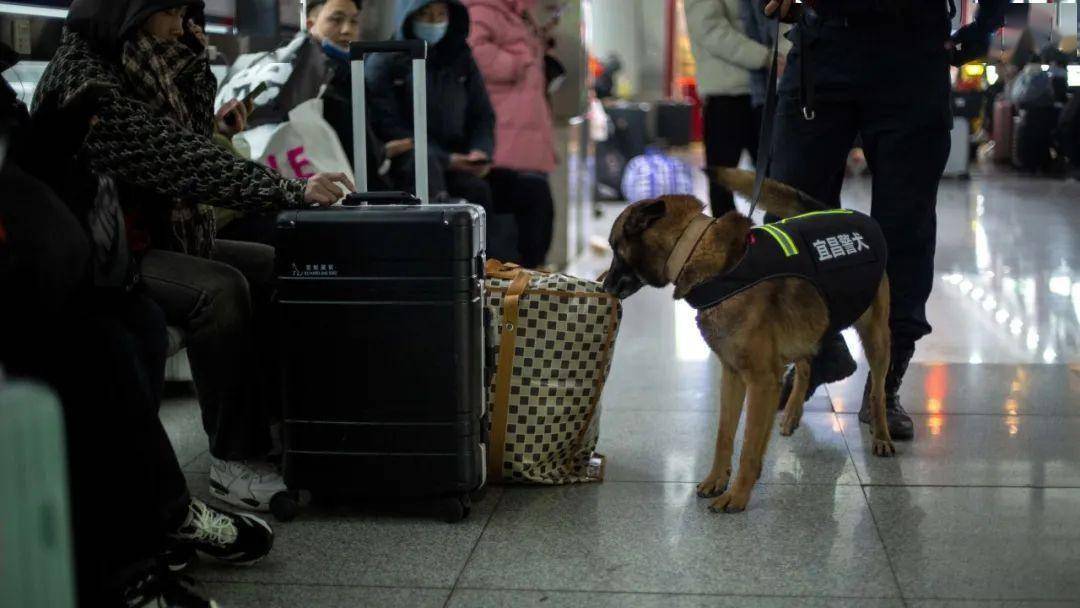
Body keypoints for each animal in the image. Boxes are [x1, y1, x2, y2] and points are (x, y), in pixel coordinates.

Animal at [600, 167, 894, 514]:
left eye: (614, 248)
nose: (602, 286)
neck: (697, 251)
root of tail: (840, 210)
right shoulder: (732, 374)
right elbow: (724, 434)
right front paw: (717, 479)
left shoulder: (761, 381)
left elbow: (750, 446)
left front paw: (738, 495)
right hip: (808, 326)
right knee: (806, 364)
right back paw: (792, 412)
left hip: (876, 337)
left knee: (877, 390)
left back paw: (882, 435)